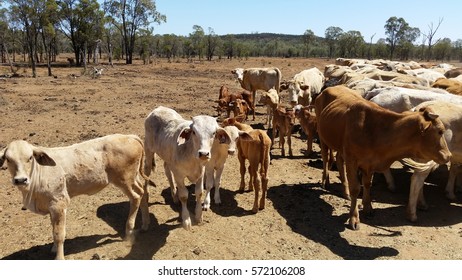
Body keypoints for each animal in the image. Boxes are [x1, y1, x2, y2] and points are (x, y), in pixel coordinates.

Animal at [0, 135, 150, 260]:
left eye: (30, 158)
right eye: (8, 159)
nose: (20, 180)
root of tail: (129, 136)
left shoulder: (58, 204)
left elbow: (59, 234)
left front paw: (59, 257)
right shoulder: (51, 206)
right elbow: (53, 228)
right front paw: (54, 248)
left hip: (124, 180)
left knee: (136, 197)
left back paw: (129, 233)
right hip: (133, 178)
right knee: (143, 192)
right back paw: (145, 225)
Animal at [314, 85, 452, 230]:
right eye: (440, 131)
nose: (448, 155)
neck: (374, 131)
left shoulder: (369, 163)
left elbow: (367, 184)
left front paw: (368, 207)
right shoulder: (352, 161)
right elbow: (356, 188)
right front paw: (354, 218)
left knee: (339, 161)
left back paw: (345, 191)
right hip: (322, 137)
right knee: (325, 159)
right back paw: (325, 181)